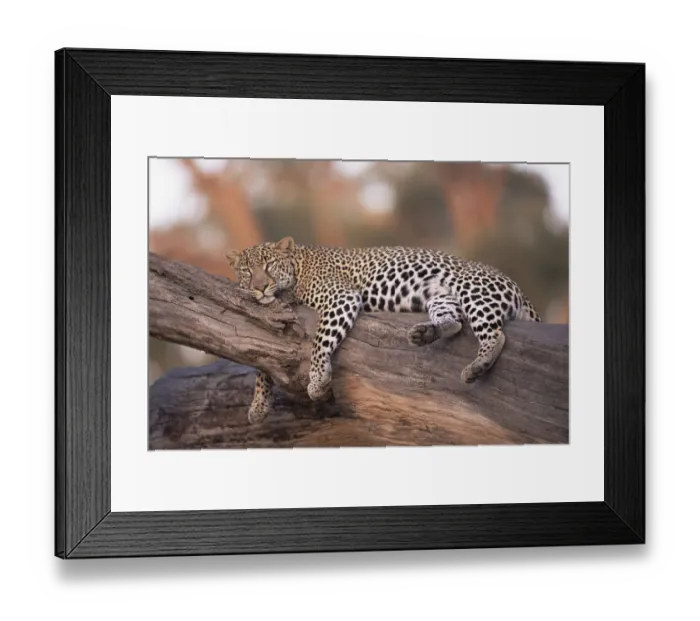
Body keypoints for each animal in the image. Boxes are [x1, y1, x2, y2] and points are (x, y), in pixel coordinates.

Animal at [226, 236, 541, 424]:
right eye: (246, 271)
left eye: (269, 265)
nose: (260, 287)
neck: (297, 269)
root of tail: (520, 291)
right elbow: (263, 361)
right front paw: (259, 404)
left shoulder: (340, 298)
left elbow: (319, 340)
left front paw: (317, 379)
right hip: (442, 298)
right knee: (453, 323)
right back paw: (423, 334)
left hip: (471, 287)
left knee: (496, 334)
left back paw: (478, 364)